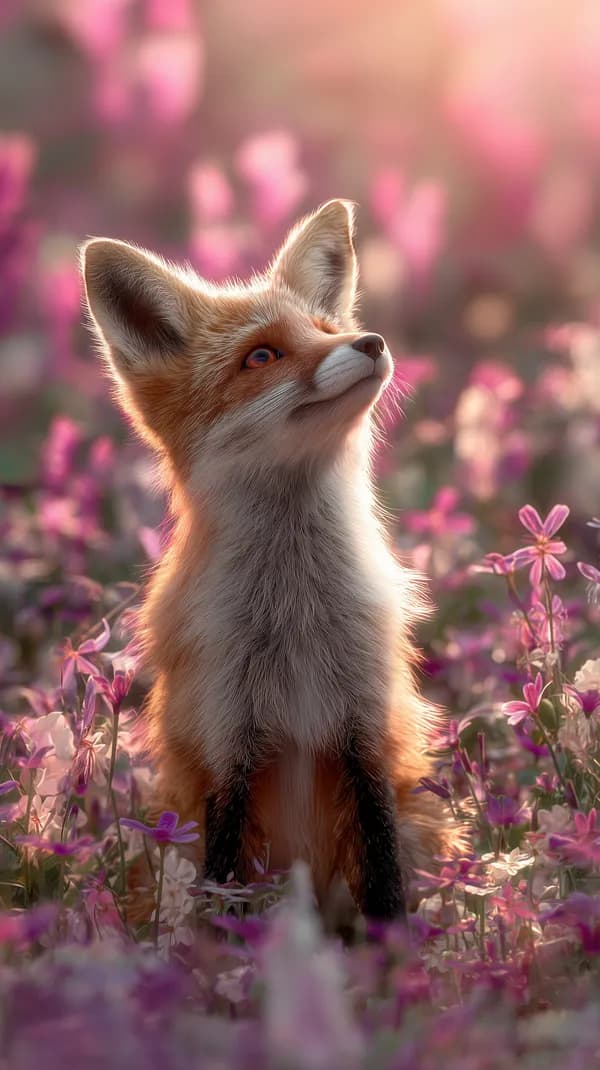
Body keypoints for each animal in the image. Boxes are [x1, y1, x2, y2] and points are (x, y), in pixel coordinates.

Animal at [80, 200, 460, 921]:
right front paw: (222, 953)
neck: (296, 614)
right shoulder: (227, 745)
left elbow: (385, 875)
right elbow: (223, 881)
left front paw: (397, 950)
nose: (370, 343)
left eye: (328, 329)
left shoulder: (367, 730)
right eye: (261, 356)